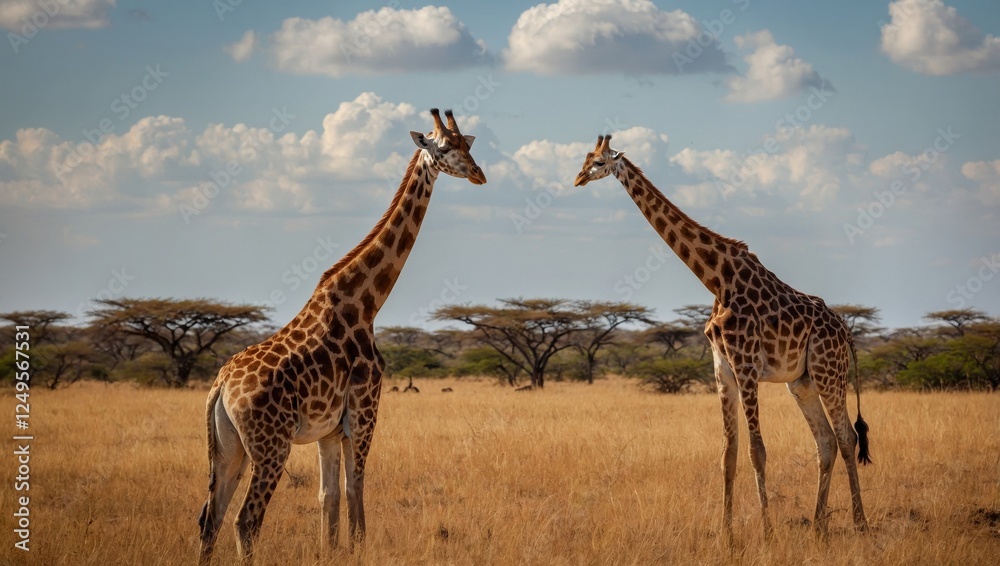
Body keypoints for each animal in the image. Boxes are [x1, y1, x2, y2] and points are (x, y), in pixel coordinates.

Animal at [197, 109, 486, 565]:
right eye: (443, 148)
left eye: (467, 145)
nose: (479, 175)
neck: (366, 303)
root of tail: (221, 386)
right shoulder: (364, 409)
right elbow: (356, 488)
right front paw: (359, 546)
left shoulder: (329, 430)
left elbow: (328, 496)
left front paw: (332, 549)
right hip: (271, 446)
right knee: (247, 520)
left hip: (228, 450)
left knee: (211, 519)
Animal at [574, 135, 870, 543]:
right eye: (585, 158)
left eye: (600, 162)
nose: (578, 180)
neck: (717, 279)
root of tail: (847, 334)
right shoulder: (722, 368)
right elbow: (728, 454)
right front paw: (727, 533)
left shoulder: (745, 365)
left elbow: (757, 451)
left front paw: (767, 533)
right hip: (803, 381)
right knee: (825, 443)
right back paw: (818, 526)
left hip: (829, 372)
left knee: (847, 438)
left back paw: (860, 523)